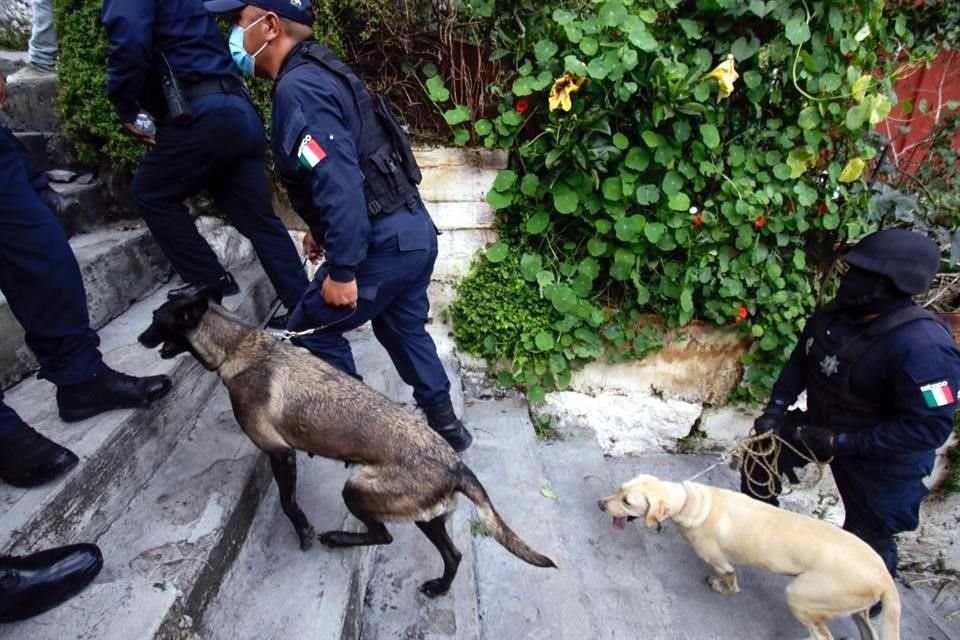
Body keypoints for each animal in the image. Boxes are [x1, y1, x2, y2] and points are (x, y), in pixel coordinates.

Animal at [136, 296, 556, 596]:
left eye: (156, 318)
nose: (139, 339)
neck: (240, 346)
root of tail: (456, 465)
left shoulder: (280, 453)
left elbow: (288, 502)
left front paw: (303, 531)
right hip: (426, 517)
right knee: (452, 555)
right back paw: (439, 587)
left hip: (357, 490)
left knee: (383, 535)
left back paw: (338, 539)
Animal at [600, 472, 900, 636]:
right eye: (620, 489)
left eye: (627, 502)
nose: (601, 504)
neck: (692, 501)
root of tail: (884, 575)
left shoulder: (718, 560)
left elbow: (730, 578)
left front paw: (723, 587)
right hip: (855, 609)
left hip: (802, 596)